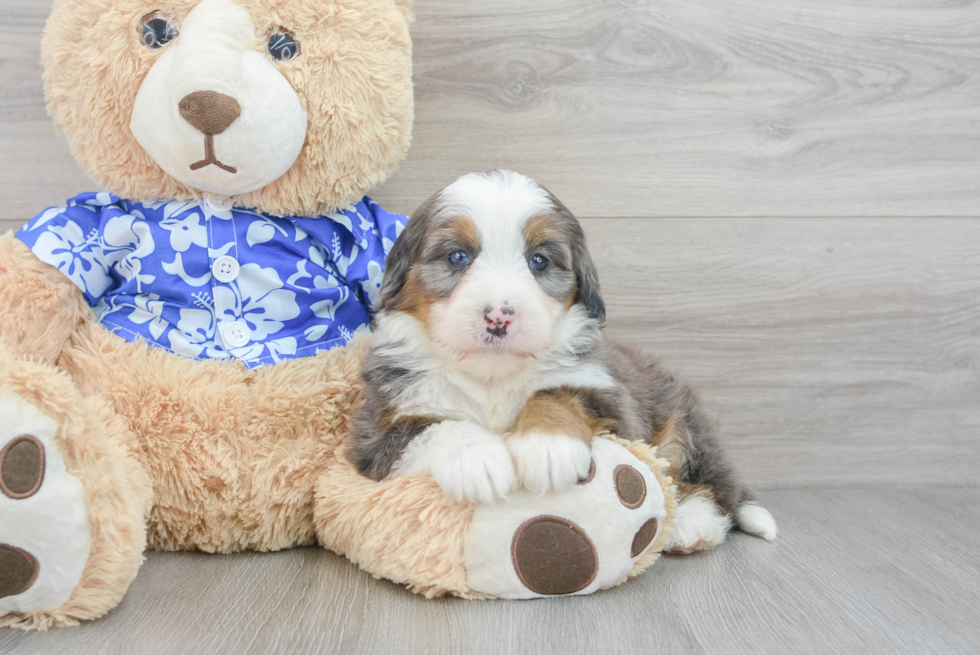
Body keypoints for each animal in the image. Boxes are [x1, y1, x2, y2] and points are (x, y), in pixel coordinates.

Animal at [348, 170, 776, 552]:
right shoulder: (377, 431)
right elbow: (435, 425)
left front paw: (547, 448)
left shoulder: (609, 397)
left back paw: (693, 525)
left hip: (683, 422)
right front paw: (478, 460)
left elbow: (557, 395)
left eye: (538, 261)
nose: (499, 316)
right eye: (457, 256)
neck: (492, 378)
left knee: (709, 486)